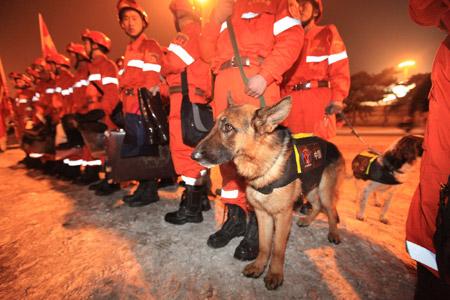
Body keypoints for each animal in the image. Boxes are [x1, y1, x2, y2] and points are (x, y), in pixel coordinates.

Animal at [191, 96, 344, 290]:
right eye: (214, 125)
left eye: (228, 127)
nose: (193, 156)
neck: (260, 162)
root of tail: (332, 145)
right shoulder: (262, 214)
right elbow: (264, 245)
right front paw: (259, 266)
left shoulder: (283, 216)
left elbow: (277, 249)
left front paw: (275, 274)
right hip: (309, 186)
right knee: (316, 205)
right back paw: (307, 220)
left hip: (324, 190)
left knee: (330, 209)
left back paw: (334, 233)